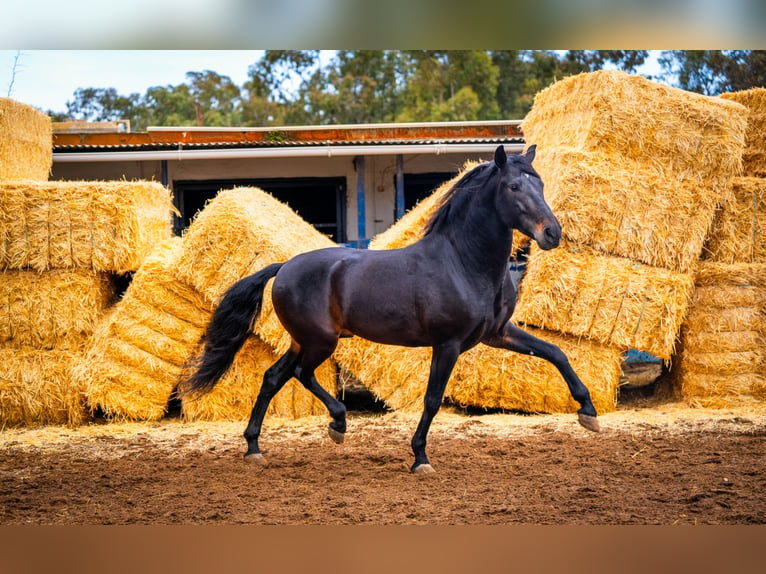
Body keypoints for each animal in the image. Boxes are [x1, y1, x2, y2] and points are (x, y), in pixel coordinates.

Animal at [178, 146, 600, 474]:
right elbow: (432, 399)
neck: (464, 263)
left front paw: (589, 413)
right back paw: (337, 424)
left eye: (539, 184)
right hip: (320, 342)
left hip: (303, 341)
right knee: (300, 374)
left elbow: (556, 353)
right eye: (514, 186)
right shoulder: (447, 345)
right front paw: (420, 458)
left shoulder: (498, 334)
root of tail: (283, 267)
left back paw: (254, 448)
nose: (553, 233)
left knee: (272, 377)